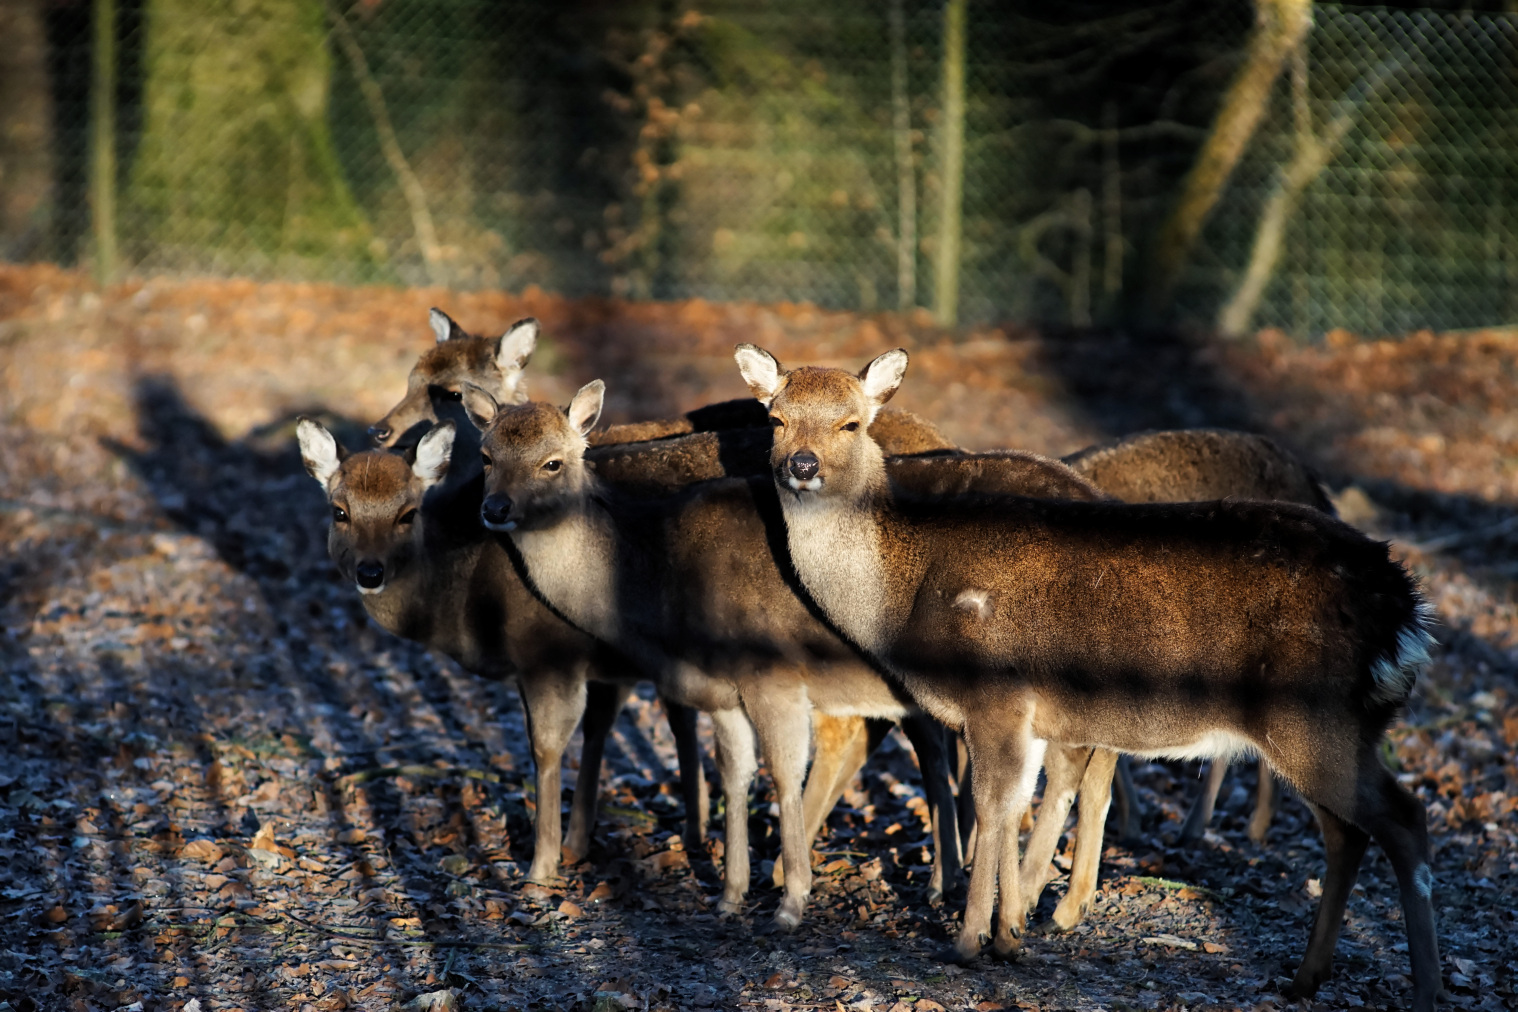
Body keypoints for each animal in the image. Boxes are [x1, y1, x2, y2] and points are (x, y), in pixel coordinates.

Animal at [740, 344, 1439, 1007]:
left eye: (852, 422)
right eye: (776, 418)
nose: (802, 465)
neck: (904, 594)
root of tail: (1405, 613)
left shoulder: (997, 696)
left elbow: (993, 806)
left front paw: (969, 940)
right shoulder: (1026, 717)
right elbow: (1017, 805)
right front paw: (1010, 933)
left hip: (1313, 718)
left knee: (1404, 819)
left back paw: (1422, 987)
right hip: (1330, 728)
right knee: (1347, 833)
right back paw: (1306, 978)